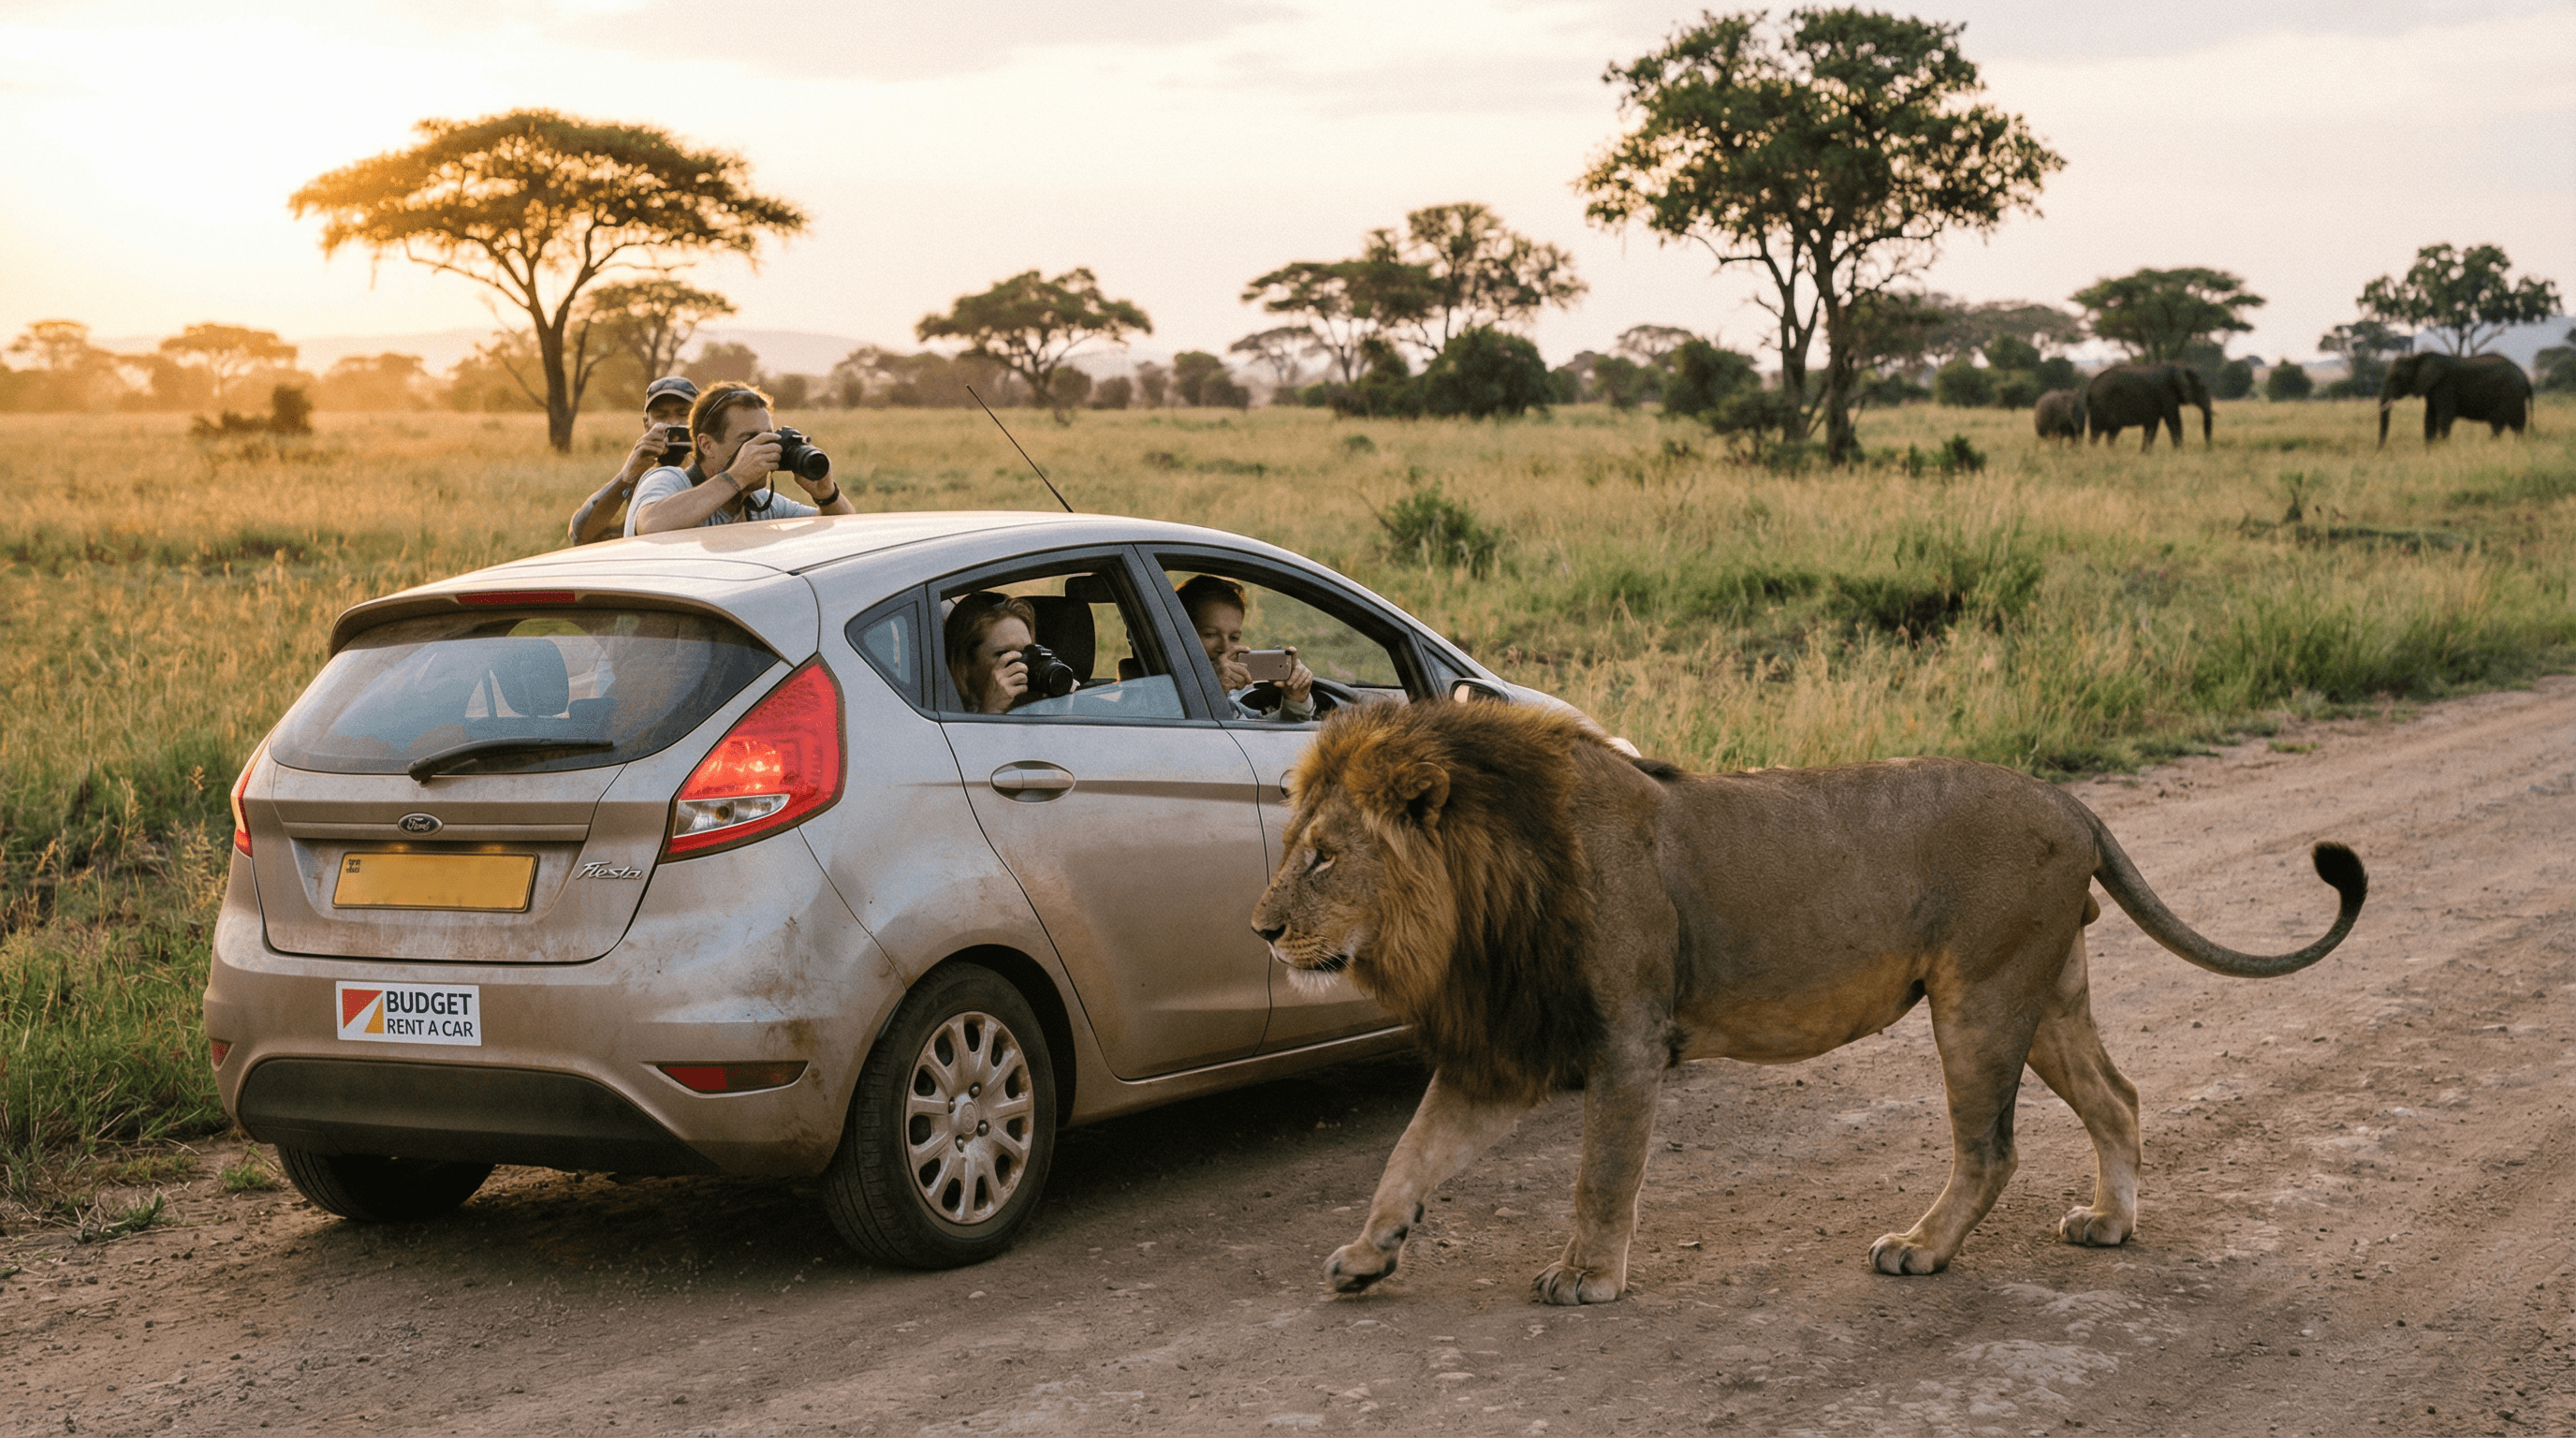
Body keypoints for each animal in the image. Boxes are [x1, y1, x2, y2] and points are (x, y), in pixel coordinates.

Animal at [1250, 701, 2366, 1305]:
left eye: (1324, 857)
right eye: (1292, 845)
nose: (1259, 929)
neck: (1481, 898)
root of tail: (2070, 799)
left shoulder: (1624, 1041)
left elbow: (1600, 1179)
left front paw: (1587, 1277)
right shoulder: (1506, 1049)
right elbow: (1409, 1157)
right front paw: (1367, 1255)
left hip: (1980, 997)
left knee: (1991, 1149)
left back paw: (1921, 1250)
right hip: (2047, 994)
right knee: (2118, 1099)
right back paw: (2109, 1224)